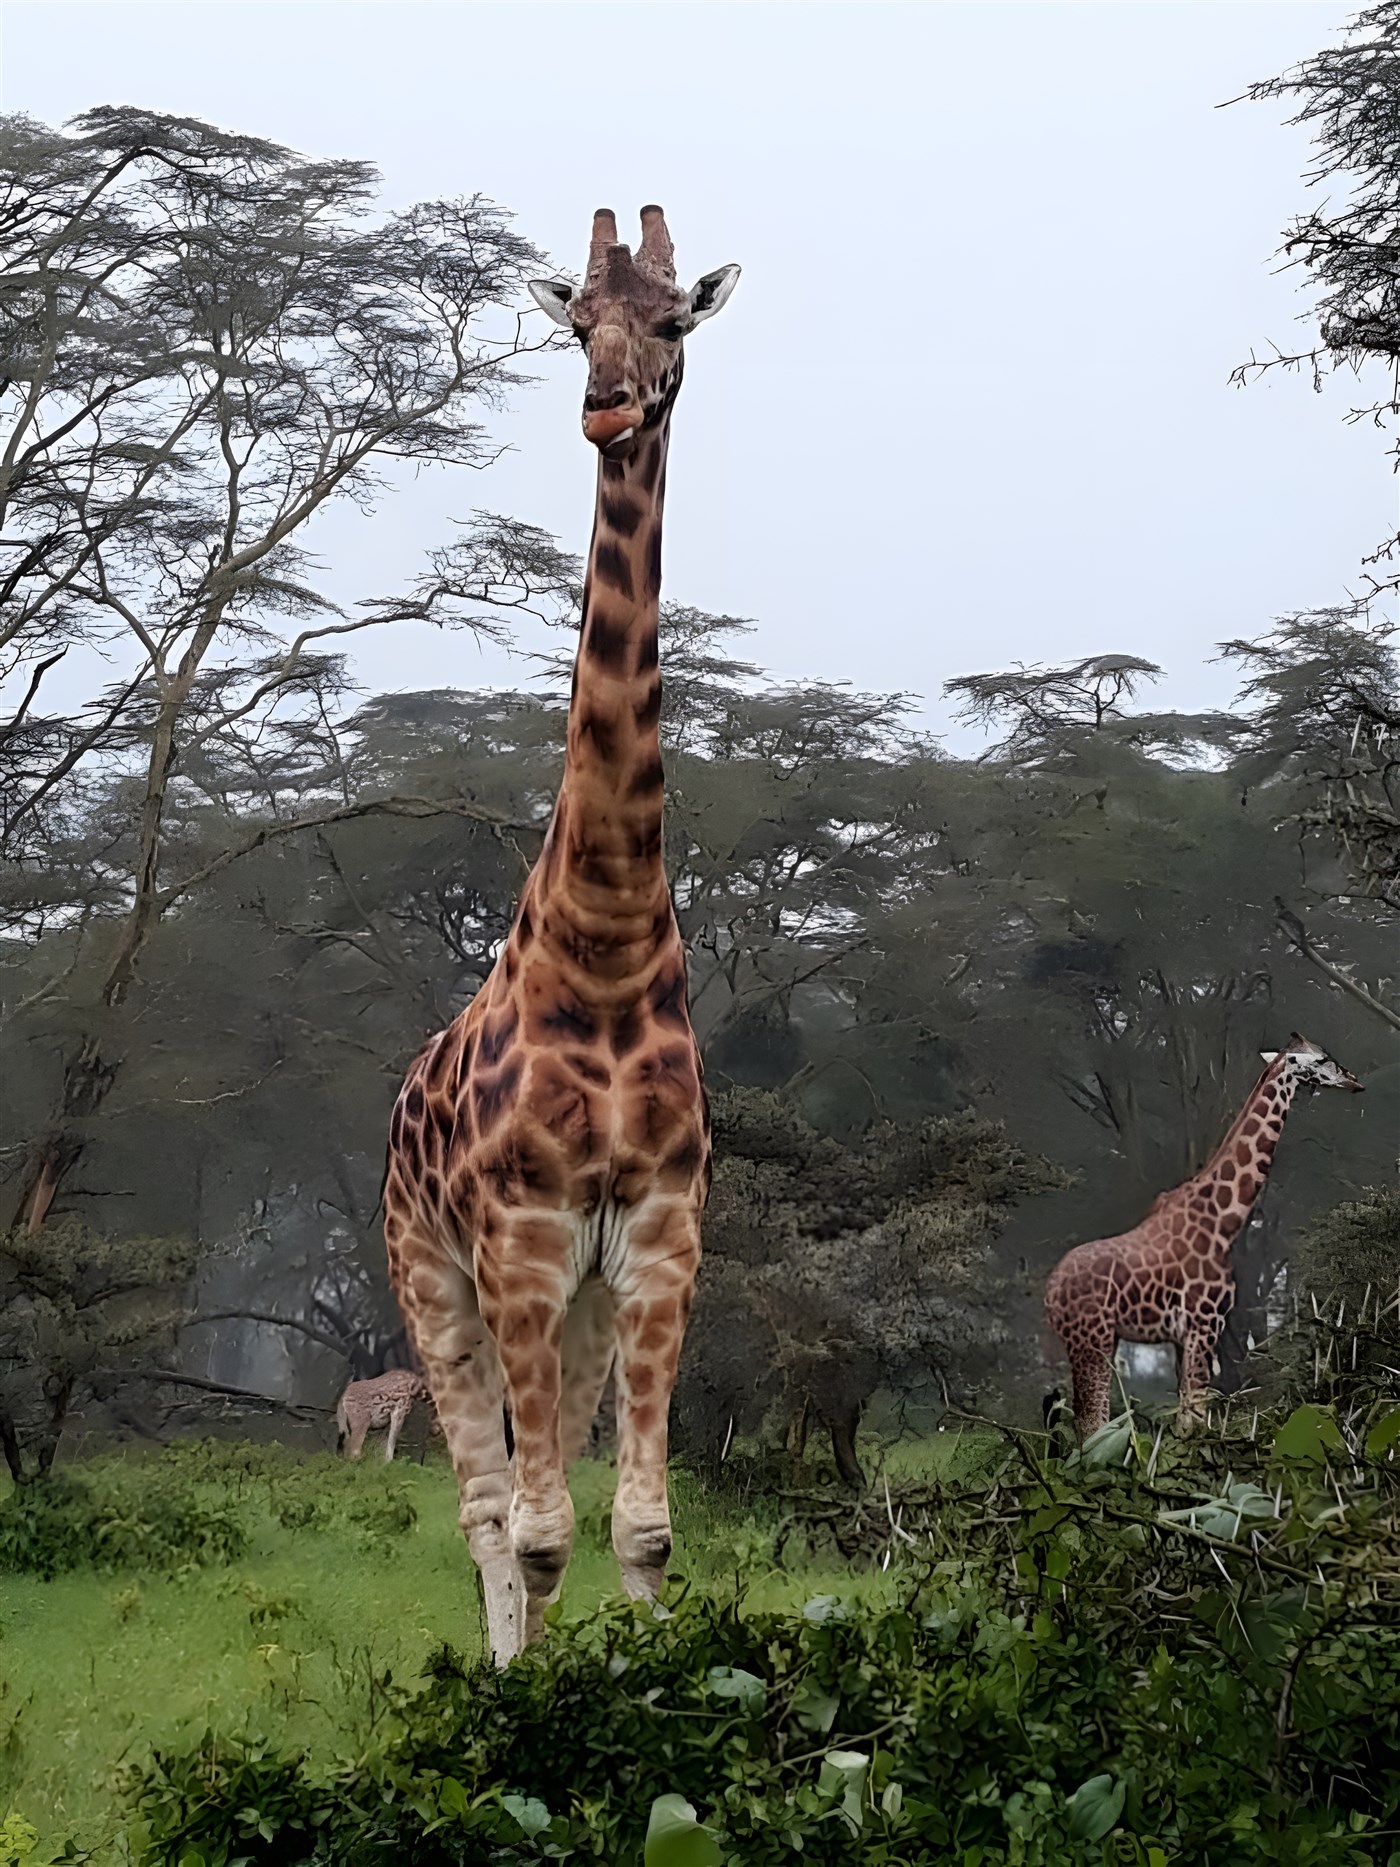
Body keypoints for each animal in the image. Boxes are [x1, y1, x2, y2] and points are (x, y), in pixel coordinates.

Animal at [1044, 1034, 1363, 1437]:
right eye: (1322, 1060)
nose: (1354, 1081)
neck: (1225, 1220)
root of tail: (1050, 1294)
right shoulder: (1205, 1323)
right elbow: (1194, 1417)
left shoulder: (1183, 1337)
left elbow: (1186, 1417)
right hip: (1093, 1340)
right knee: (1093, 1423)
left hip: (1096, 1341)